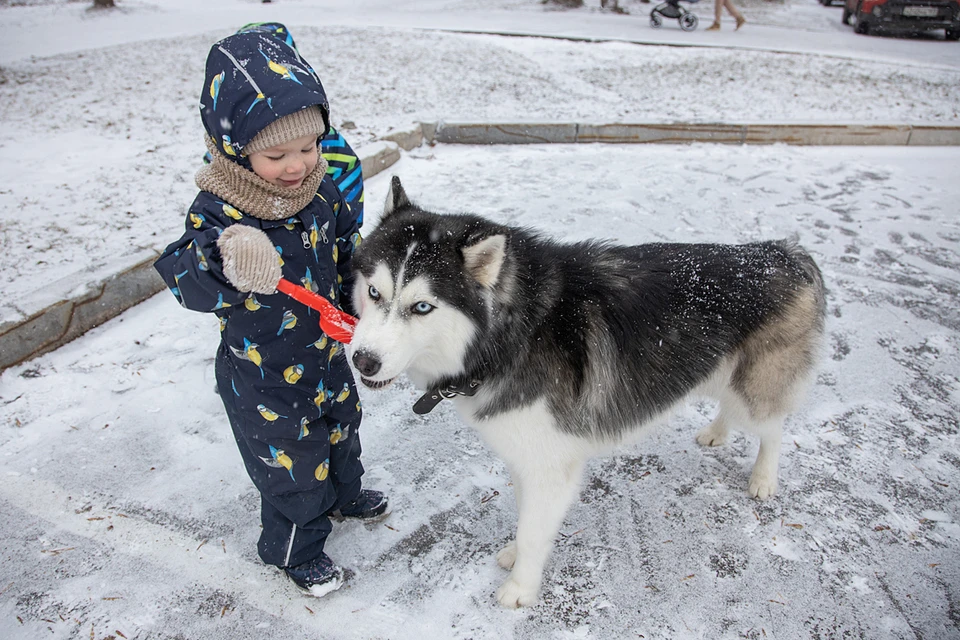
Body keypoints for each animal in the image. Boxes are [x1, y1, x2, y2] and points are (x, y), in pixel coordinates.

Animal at [344, 178, 824, 608]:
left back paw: (763, 478)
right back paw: (717, 432)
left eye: (422, 307)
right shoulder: (527, 455)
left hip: (755, 390)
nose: (363, 361)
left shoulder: (551, 464)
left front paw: (520, 589)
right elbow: (526, 518)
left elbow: (534, 530)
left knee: (773, 427)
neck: (514, 333)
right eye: (374, 292)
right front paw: (517, 555)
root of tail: (779, 251)